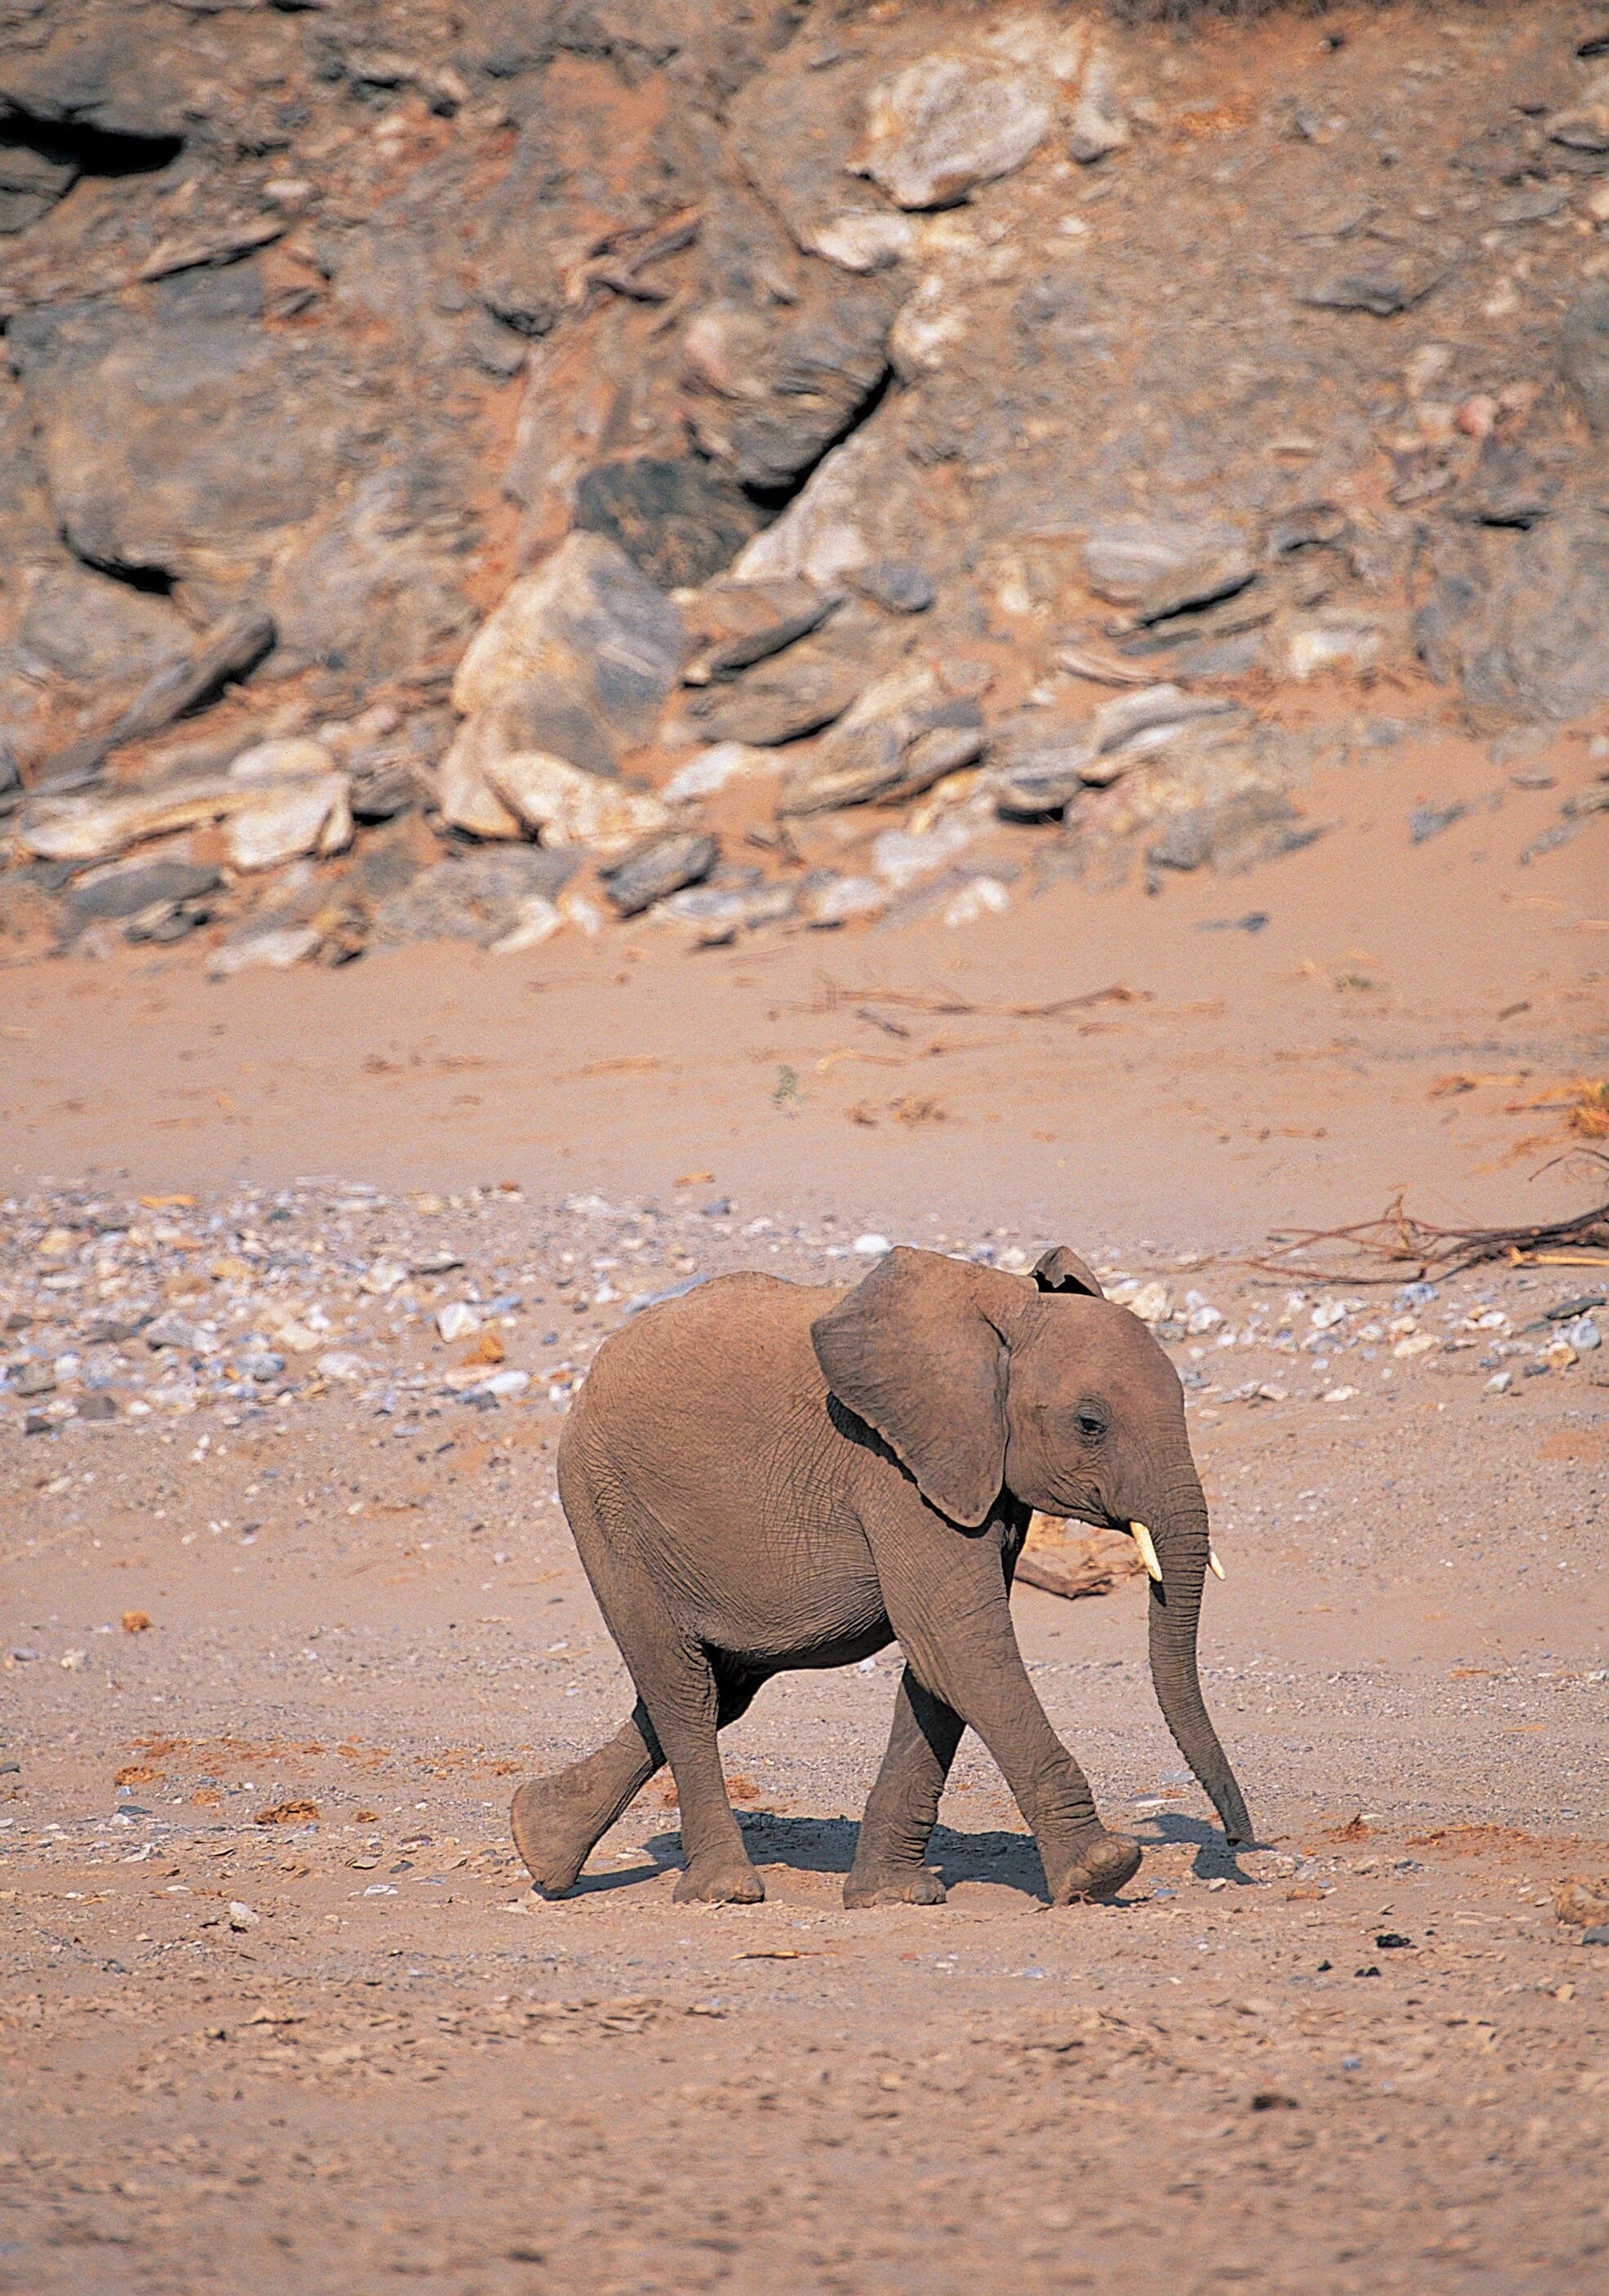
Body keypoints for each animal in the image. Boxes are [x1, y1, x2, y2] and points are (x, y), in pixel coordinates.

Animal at [507, 1249, 1248, 1910]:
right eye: (1090, 1425)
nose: (1240, 1840)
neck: (1001, 1312)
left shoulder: (977, 1477)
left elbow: (938, 1668)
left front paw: (891, 1897)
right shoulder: (897, 1471)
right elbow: (959, 1646)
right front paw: (1102, 1871)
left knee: (722, 1687)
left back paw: (537, 1842)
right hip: (607, 1507)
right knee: (683, 1687)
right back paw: (725, 1890)